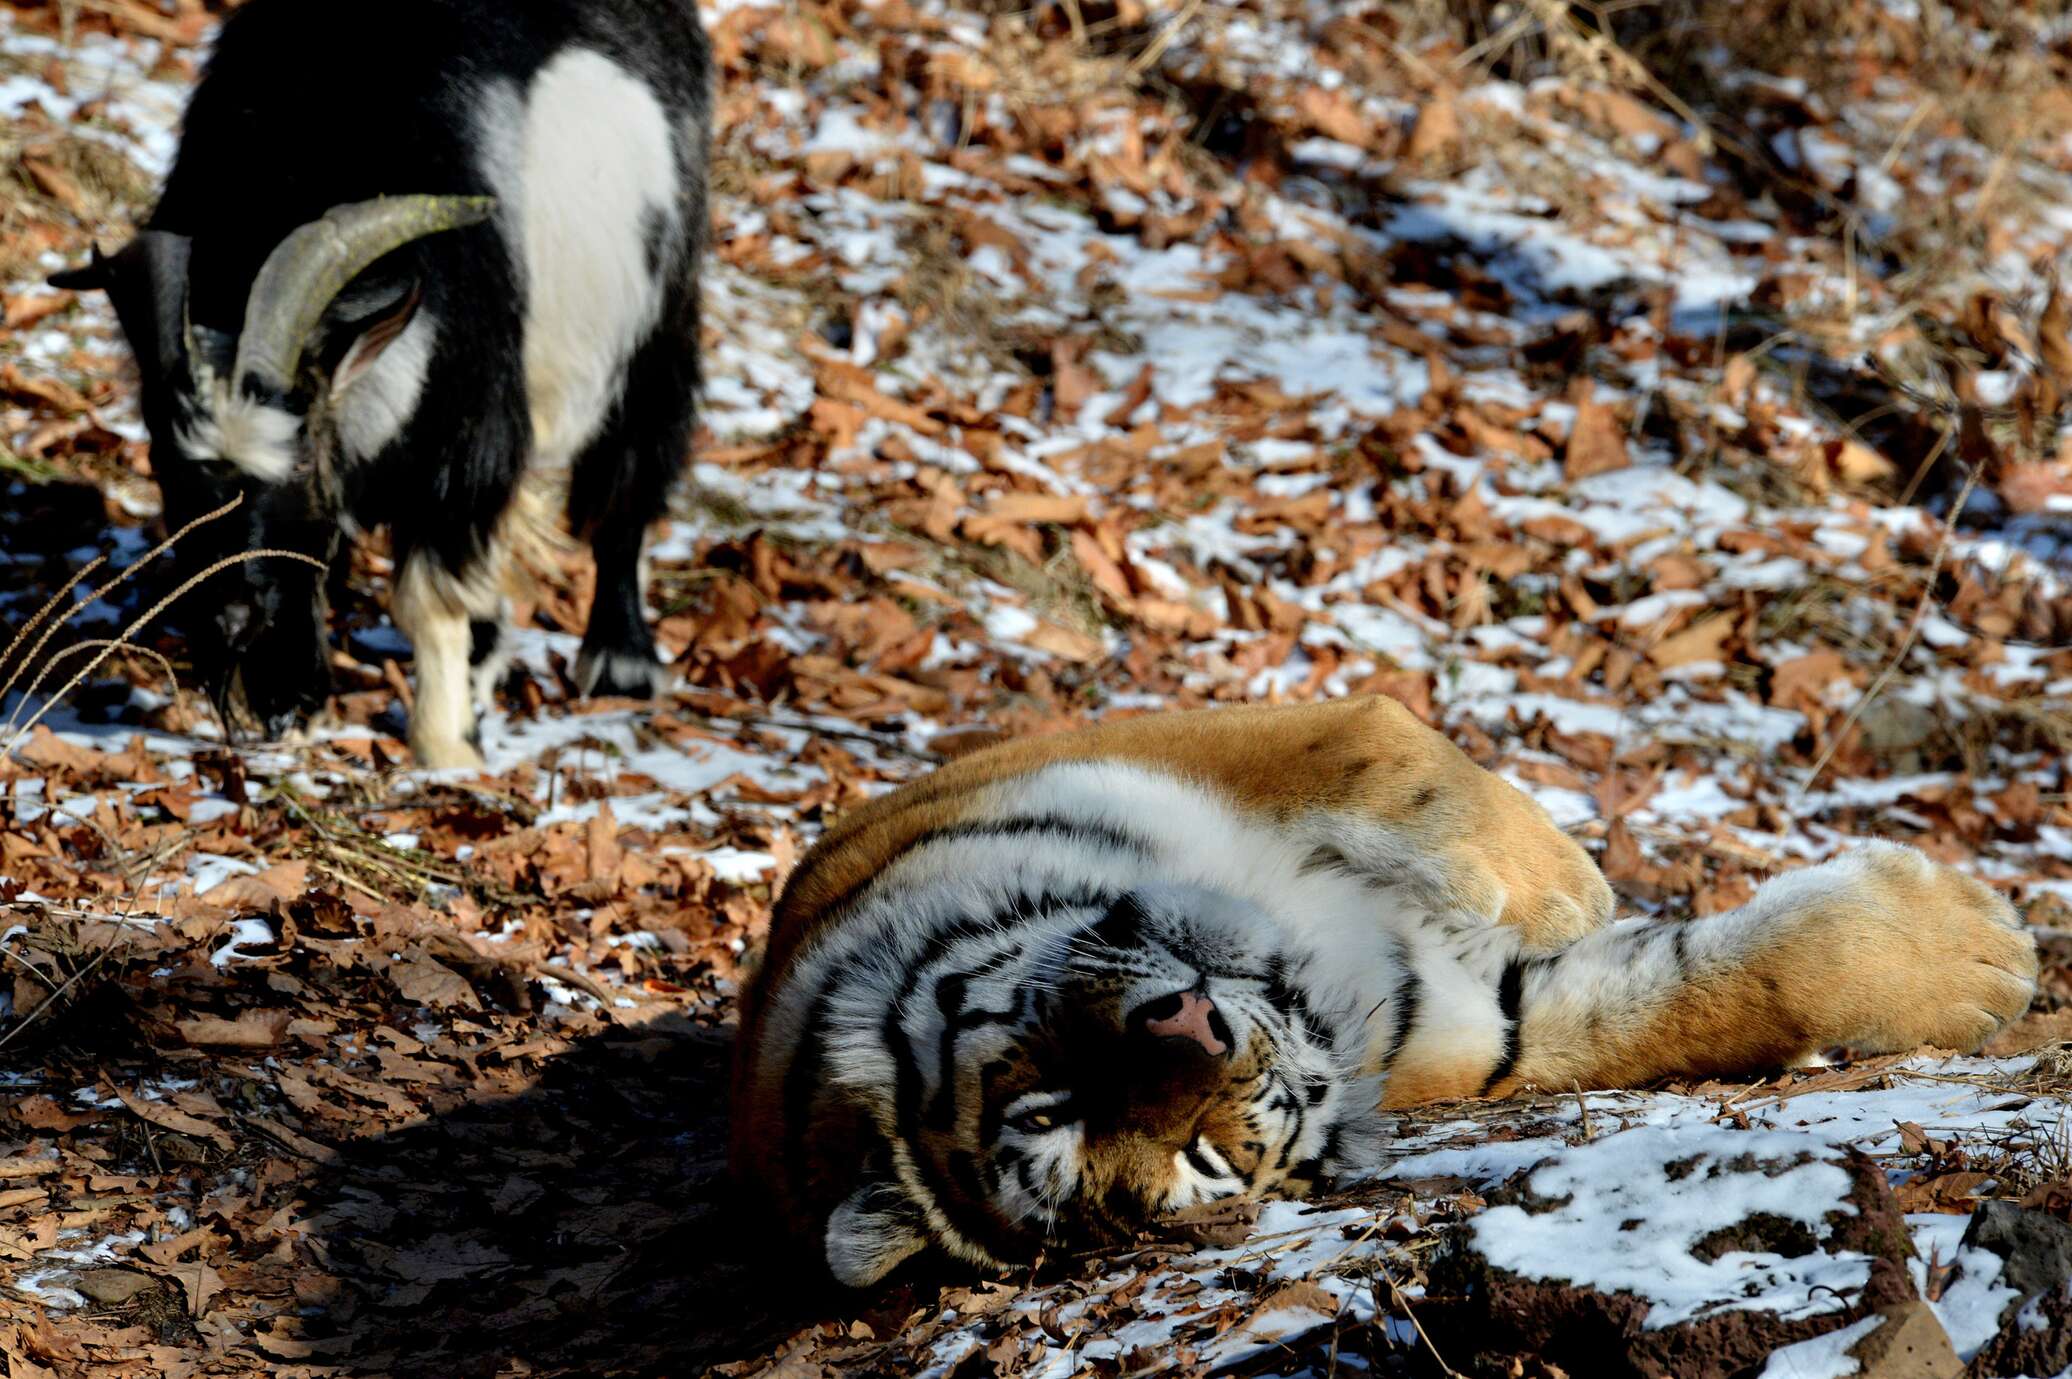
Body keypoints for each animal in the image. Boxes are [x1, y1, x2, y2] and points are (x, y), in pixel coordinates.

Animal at [52, 0, 712, 766]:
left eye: (300, 464)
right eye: (163, 465)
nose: (233, 620)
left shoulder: (472, 437)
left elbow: (430, 596)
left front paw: (446, 748)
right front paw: (294, 706)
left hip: (657, 306)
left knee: (634, 462)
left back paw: (619, 660)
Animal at [733, 691, 2038, 1283]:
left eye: (1050, 1094)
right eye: (1196, 1163)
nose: (1192, 1024)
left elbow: (1387, 749)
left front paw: (1552, 880)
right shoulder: (1474, 1020)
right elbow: (1670, 995)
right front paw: (1988, 952)